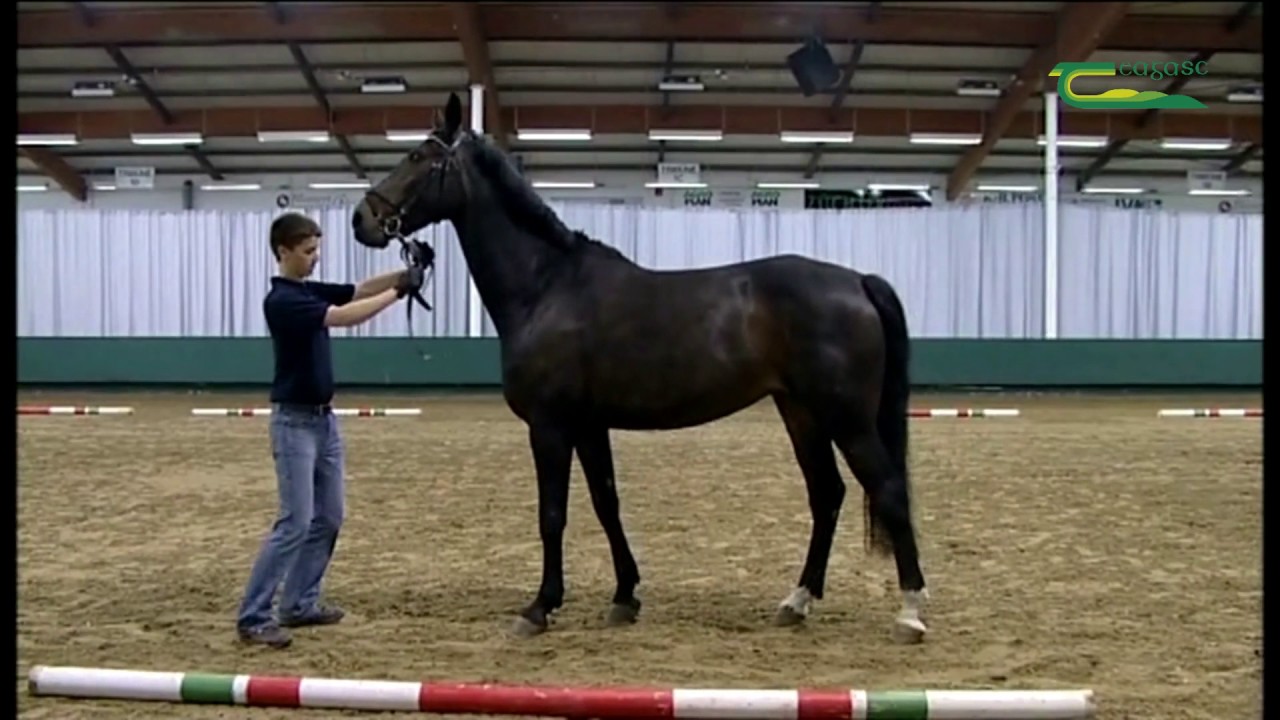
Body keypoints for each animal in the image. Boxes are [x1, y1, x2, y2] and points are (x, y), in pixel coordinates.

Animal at [350, 91, 930, 644]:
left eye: (419, 157)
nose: (363, 219)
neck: (547, 286)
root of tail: (858, 281)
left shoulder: (550, 426)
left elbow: (552, 515)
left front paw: (539, 608)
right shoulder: (588, 425)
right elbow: (607, 503)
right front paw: (624, 597)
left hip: (846, 418)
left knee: (888, 490)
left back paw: (911, 612)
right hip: (801, 413)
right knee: (827, 494)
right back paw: (797, 601)